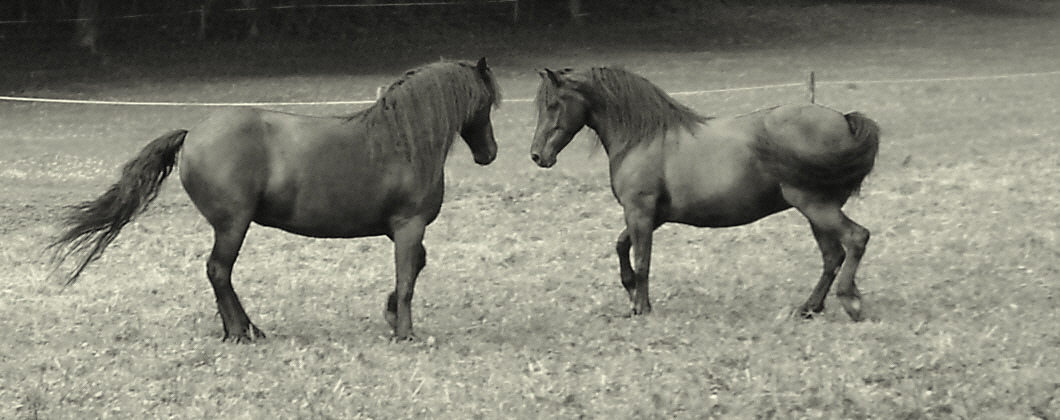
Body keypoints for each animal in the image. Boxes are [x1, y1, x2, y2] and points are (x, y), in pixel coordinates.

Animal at [49, 58, 502, 342]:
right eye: (486, 103)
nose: (490, 153)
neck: (403, 142)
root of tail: (193, 134)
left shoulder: (403, 231)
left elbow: (414, 269)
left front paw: (391, 317)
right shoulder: (409, 226)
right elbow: (408, 279)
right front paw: (405, 332)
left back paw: (248, 330)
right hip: (233, 224)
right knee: (219, 272)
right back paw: (240, 333)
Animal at [529, 67, 880, 321]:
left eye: (553, 105)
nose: (536, 155)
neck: (644, 137)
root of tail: (844, 120)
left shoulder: (640, 211)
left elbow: (642, 260)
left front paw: (641, 308)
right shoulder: (651, 216)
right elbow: (621, 246)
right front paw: (631, 293)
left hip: (814, 205)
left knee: (855, 239)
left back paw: (850, 302)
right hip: (815, 211)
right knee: (832, 256)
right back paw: (810, 307)